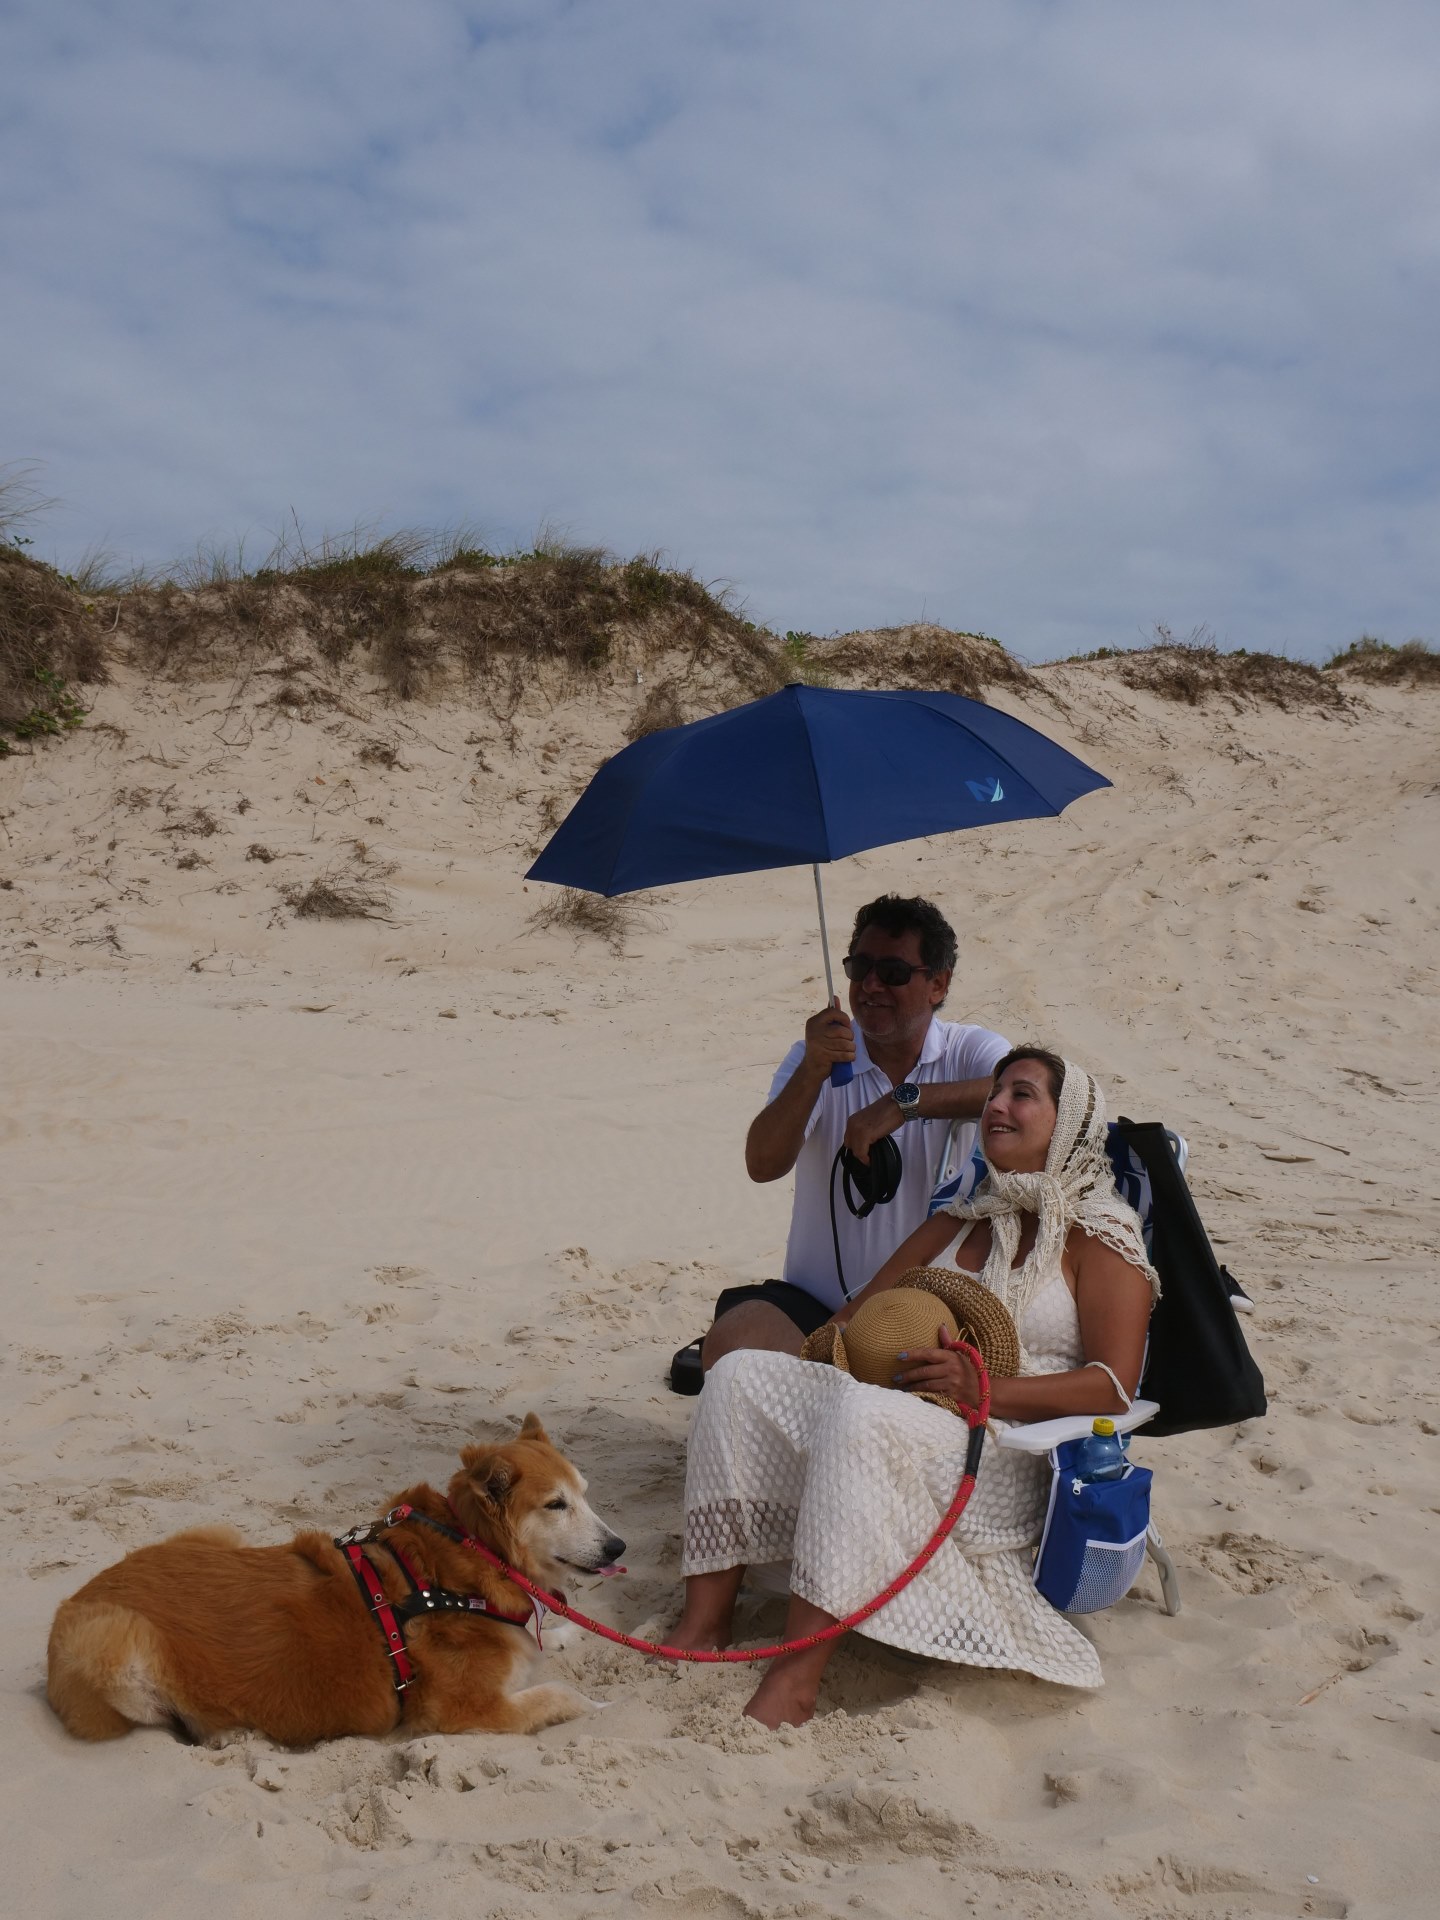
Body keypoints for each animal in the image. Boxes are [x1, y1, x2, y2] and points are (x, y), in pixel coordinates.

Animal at [46, 1414, 624, 1745]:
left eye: (585, 1493)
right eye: (556, 1505)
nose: (619, 1547)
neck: (470, 1559)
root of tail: (69, 1605)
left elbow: (549, 1640)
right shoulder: (468, 1710)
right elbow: (559, 1694)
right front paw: (601, 1706)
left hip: (216, 1534)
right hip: (111, 1645)